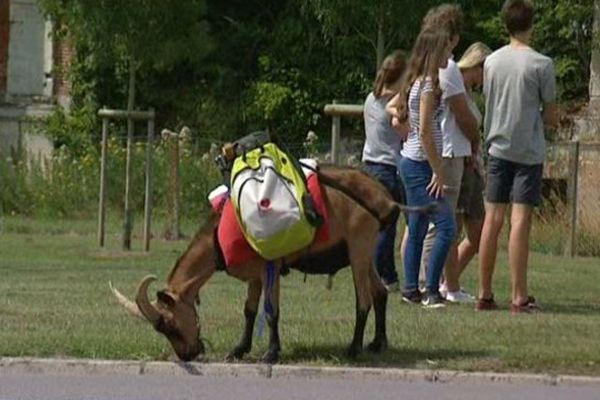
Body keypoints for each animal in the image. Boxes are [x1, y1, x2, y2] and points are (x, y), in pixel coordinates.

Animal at [112, 165, 400, 362]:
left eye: (169, 325)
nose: (188, 355)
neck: (219, 233)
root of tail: (383, 196)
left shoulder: (270, 267)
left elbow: (271, 311)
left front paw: (271, 353)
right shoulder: (253, 275)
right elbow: (249, 311)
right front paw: (239, 350)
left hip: (359, 244)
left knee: (363, 298)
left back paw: (354, 348)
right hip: (363, 251)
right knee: (380, 292)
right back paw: (378, 343)